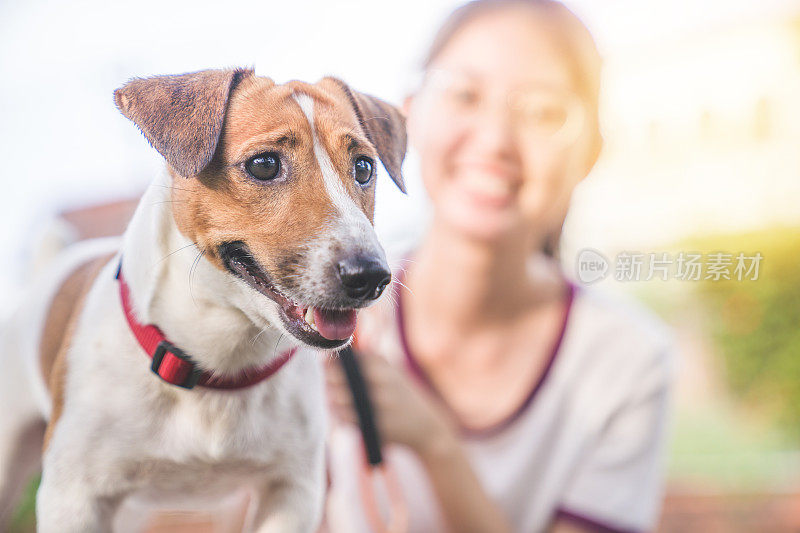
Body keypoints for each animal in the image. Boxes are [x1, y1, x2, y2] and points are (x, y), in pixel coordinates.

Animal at [0, 68, 410, 528]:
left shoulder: (293, 493)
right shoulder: (74, 501)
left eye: (364, 167)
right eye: (264, 164)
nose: (371, 276)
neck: (218, 365)